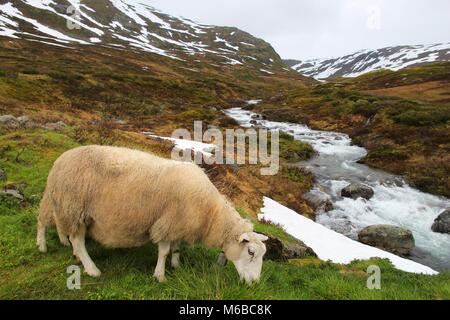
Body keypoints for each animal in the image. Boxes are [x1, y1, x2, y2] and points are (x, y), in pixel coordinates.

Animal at [37, 145, 268, 282]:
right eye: (251, 252)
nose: (255, 283)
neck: (211, 214)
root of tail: (62, 158)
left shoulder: (178, 225)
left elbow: (176, 248)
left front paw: (176, 264)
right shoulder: (167, 223)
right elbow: (164, 251)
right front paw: (160, 275)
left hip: (65, 206)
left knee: (57, 226)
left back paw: (64, 245)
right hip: (73, 206)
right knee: (69, 236)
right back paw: (84, 265)